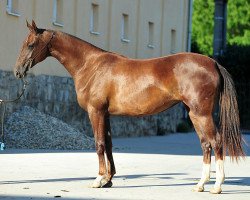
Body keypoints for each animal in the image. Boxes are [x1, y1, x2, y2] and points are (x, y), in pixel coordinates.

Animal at [14, 21, 244, 193]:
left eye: (31, 44)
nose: (18, 71)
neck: (90, 66)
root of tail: (213, 63)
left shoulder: (96, 112)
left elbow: (99, 144)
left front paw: (98, 180)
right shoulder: (105, 114)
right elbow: (108, 144)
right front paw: (108, 179)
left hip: (201, 114)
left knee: (216, 142)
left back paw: (216, 185)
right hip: (194, 114)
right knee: (206, 144)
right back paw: (200, 184)